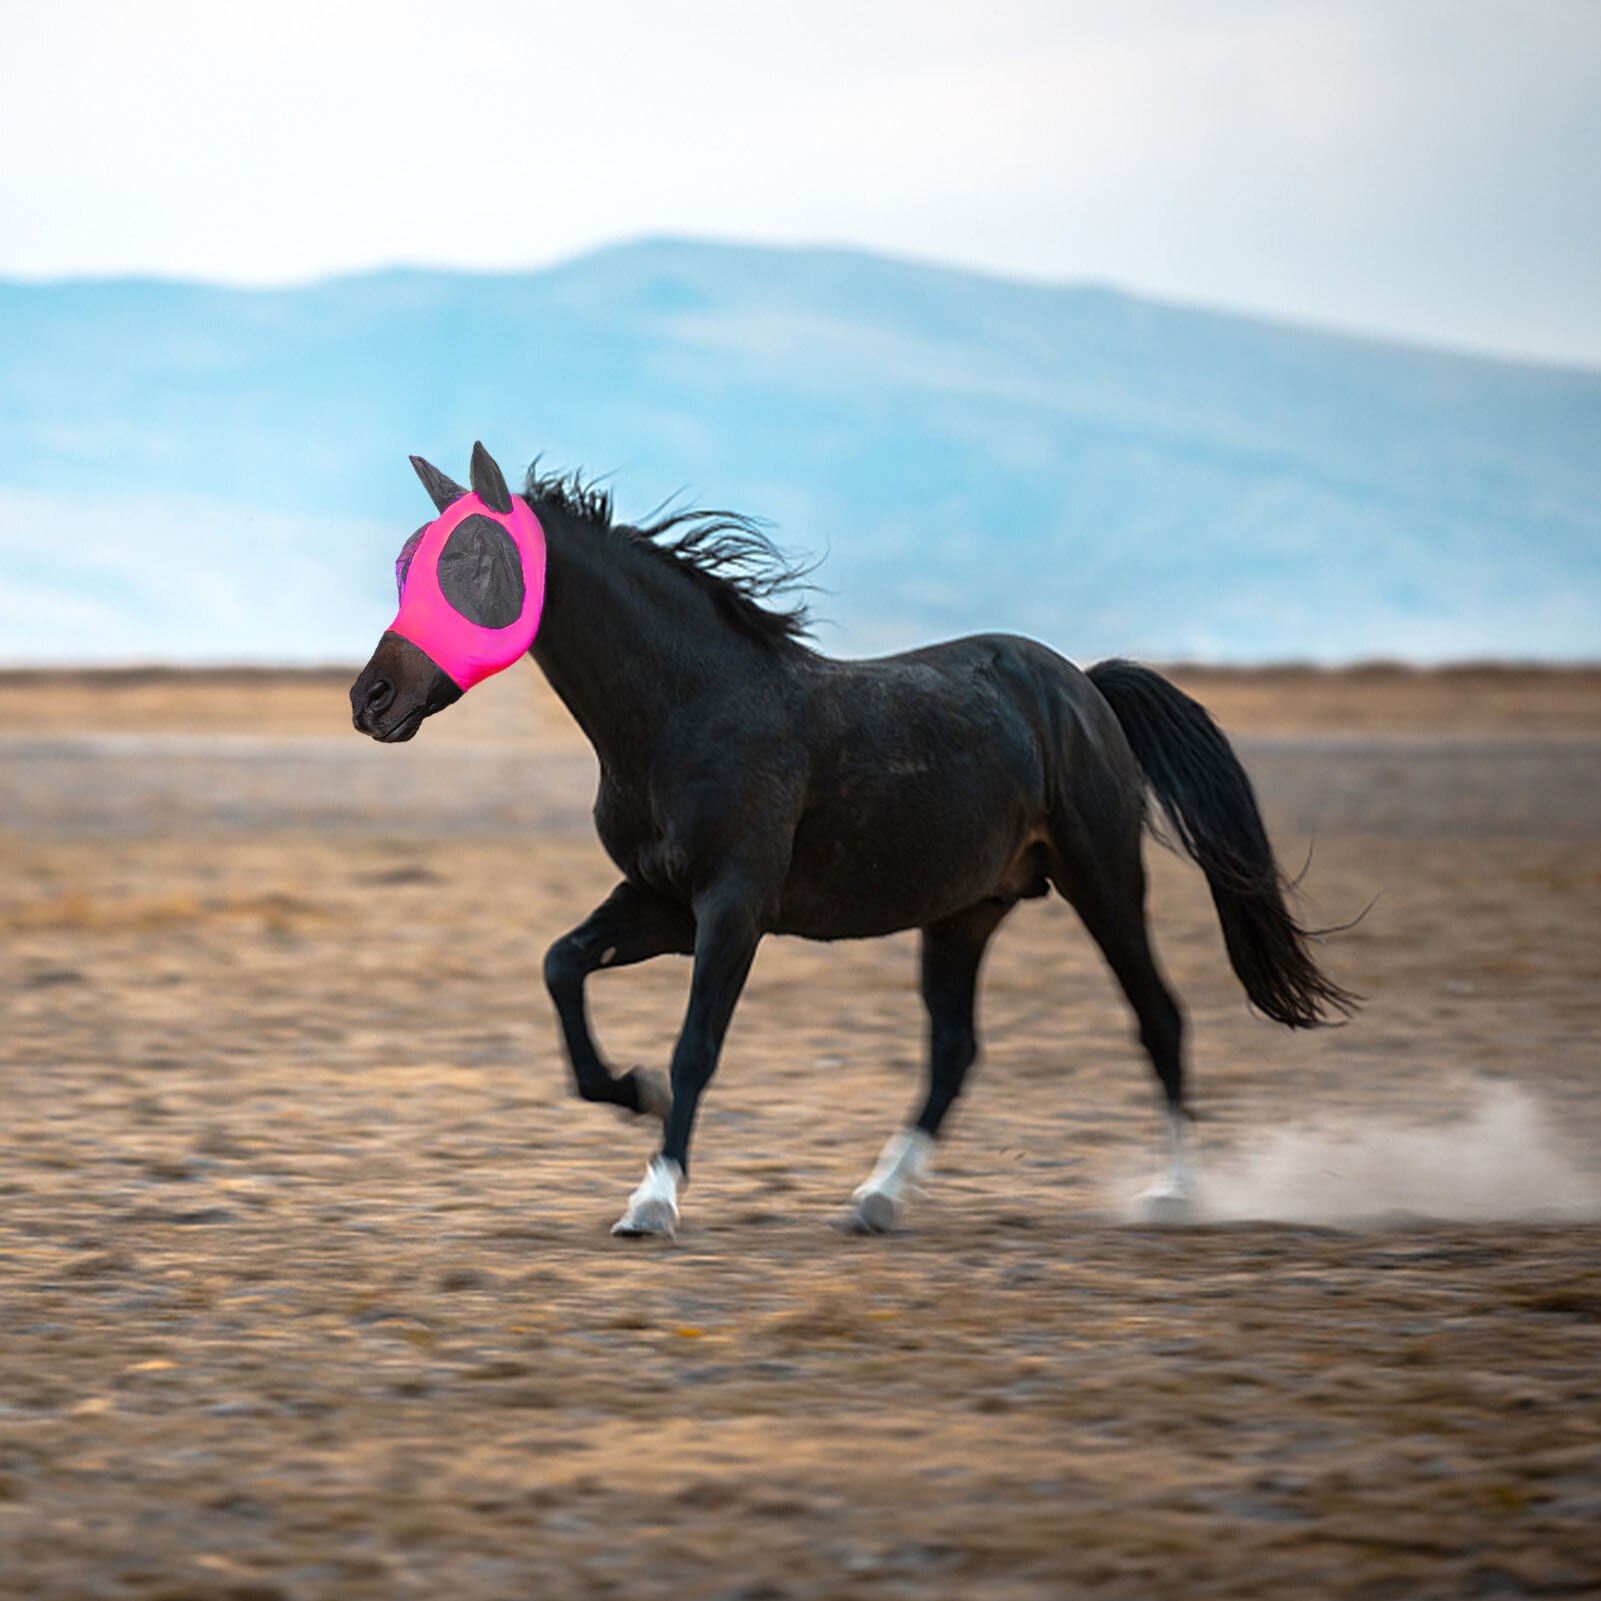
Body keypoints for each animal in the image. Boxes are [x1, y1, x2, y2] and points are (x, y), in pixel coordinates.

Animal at [350, 443, 1355, 1237]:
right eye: (407, 563)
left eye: (472, 560)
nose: (371, 698)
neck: (685, 710)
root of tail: (1084, 689)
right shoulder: (661, 901)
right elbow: (562, 964)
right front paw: (629, 1091)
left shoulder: (733, 905)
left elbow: (695, 1045)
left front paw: (653, 1199)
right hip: (966, 909)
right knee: (955, 1049)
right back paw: (876, 1198)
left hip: (1102, 878)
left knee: (1158, 1017)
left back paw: (1170, 1194)